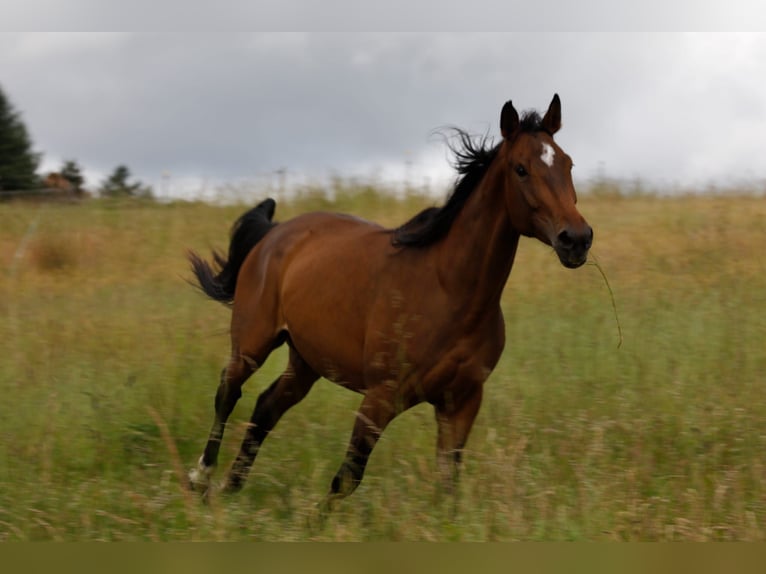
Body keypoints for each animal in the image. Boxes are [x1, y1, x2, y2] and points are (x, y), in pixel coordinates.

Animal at [187, 94, 593, 503]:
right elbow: (348, 476)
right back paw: (201, 479)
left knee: (265, 408)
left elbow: (448, 485)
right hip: (253, 343)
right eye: (521, 169)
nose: (576, 239)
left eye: (568, 163)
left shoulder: (462, 401)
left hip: (306, 360)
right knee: (228, 391)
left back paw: (231, 488)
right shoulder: (382, 396)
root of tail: (274, 232)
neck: (450, 292)